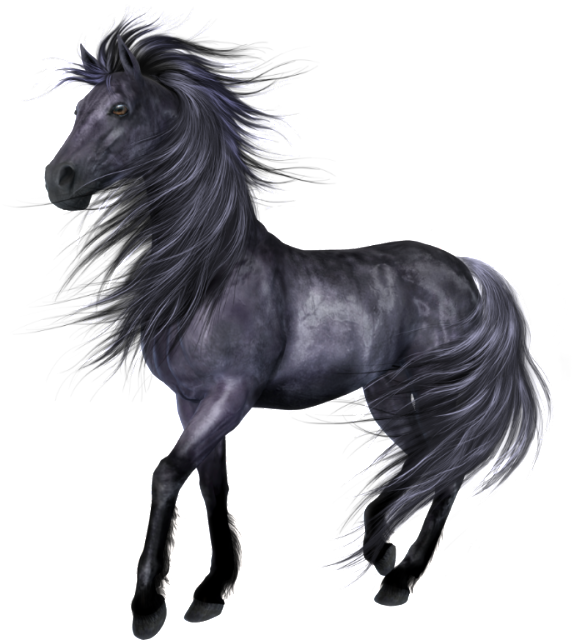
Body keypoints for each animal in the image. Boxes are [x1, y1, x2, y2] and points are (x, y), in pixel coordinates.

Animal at [29, 7, 553, 639]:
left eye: (120, 110)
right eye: (78, 111)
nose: (57, 179)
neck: (210, 274)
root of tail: (467, 271)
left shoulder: (231, 394)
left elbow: (167, 473)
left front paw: (150, 606)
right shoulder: (192, 399)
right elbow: (212, 483)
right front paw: (213, 592)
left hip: (429, 394)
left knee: (446, 468)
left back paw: (396, 574)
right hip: (394, 397)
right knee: (428, 464)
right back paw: (384, 552)